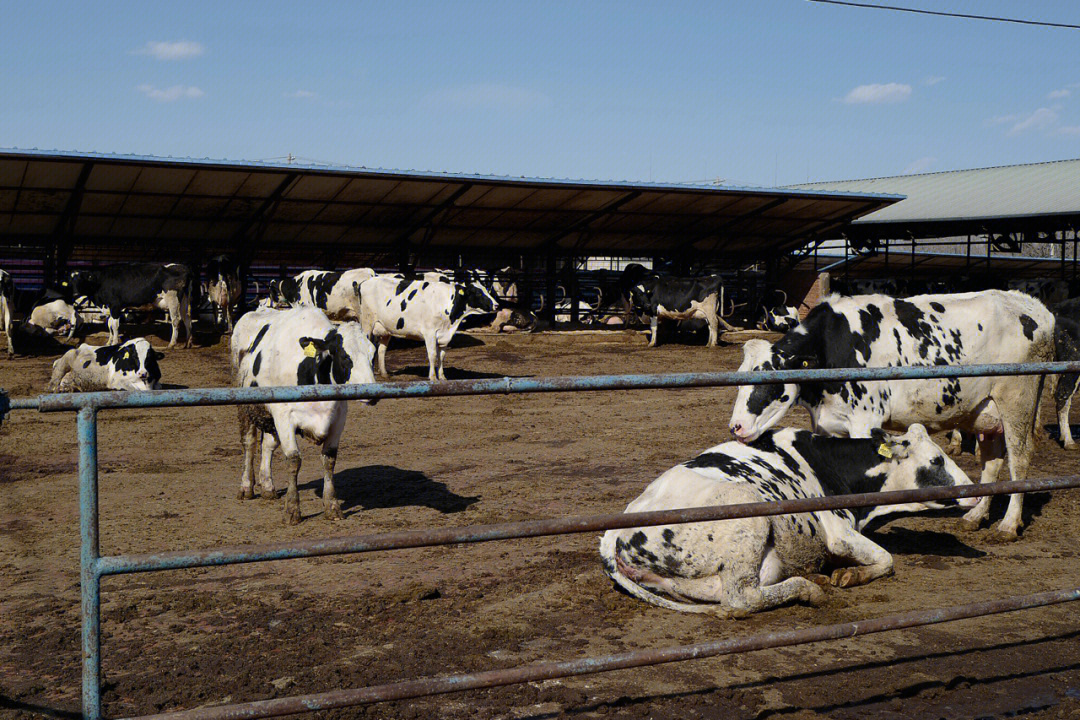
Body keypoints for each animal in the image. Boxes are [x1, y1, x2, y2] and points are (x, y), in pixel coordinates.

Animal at [230, 306, 378, 526]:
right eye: (344, 356)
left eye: (372, 355)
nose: (373, 393)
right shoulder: (284, 415)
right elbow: (293, 460)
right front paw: (292, 510)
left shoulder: (338, 418)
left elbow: (329, 460)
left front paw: (332, 507)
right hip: (244, 403)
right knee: (249, 443)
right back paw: (246, 486)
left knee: (268, 445)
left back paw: (267, 487)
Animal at [360, 269, 498, 382]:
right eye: (478, 293)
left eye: (486, 290)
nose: (496, 305)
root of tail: (367, 281)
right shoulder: (430, 333)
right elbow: (432, 355)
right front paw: (432, 377)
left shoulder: (444, 335)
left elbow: (441, 356)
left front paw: (442, 376)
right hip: (367, 324)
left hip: (385, 328)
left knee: (381, 350)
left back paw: (384, 373)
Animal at [600, 425, 980, 617]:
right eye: (936, 460)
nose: (977, 491)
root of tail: (612, 533)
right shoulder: (838, 531)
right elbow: (886, 559)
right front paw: (849, 575)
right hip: (747, 516)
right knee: (740, 600)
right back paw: (810, 588)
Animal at [725, 289, 1054, 539]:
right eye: (739, 379)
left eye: (767, 381)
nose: (736, 427)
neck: (832, 346)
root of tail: (1033, 306)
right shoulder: (827, 424)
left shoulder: (865, 419)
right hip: (985, 410)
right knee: (992, 462)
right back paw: (977, 515)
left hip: (1017, 400)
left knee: (1019, 458)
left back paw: (1009, 524)